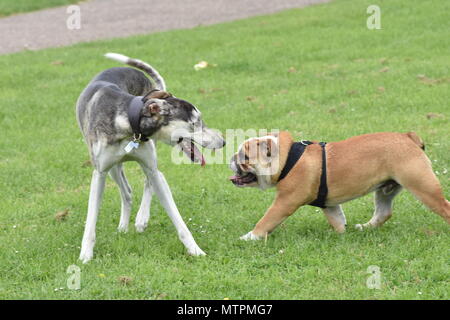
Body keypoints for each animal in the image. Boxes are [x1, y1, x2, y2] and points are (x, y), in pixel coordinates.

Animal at [77, 53, 227, 262]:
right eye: (195, 123)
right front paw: (85, 255)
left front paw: (195, 250)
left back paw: (141, 219)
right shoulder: (99, 174)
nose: (223, 142)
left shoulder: (151, 167)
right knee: (127, 191)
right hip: (113, 169)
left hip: (149, 164)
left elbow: (177, 218)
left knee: (151, 179)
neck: (128, 122)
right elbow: (91, 220)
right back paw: (123, 226)